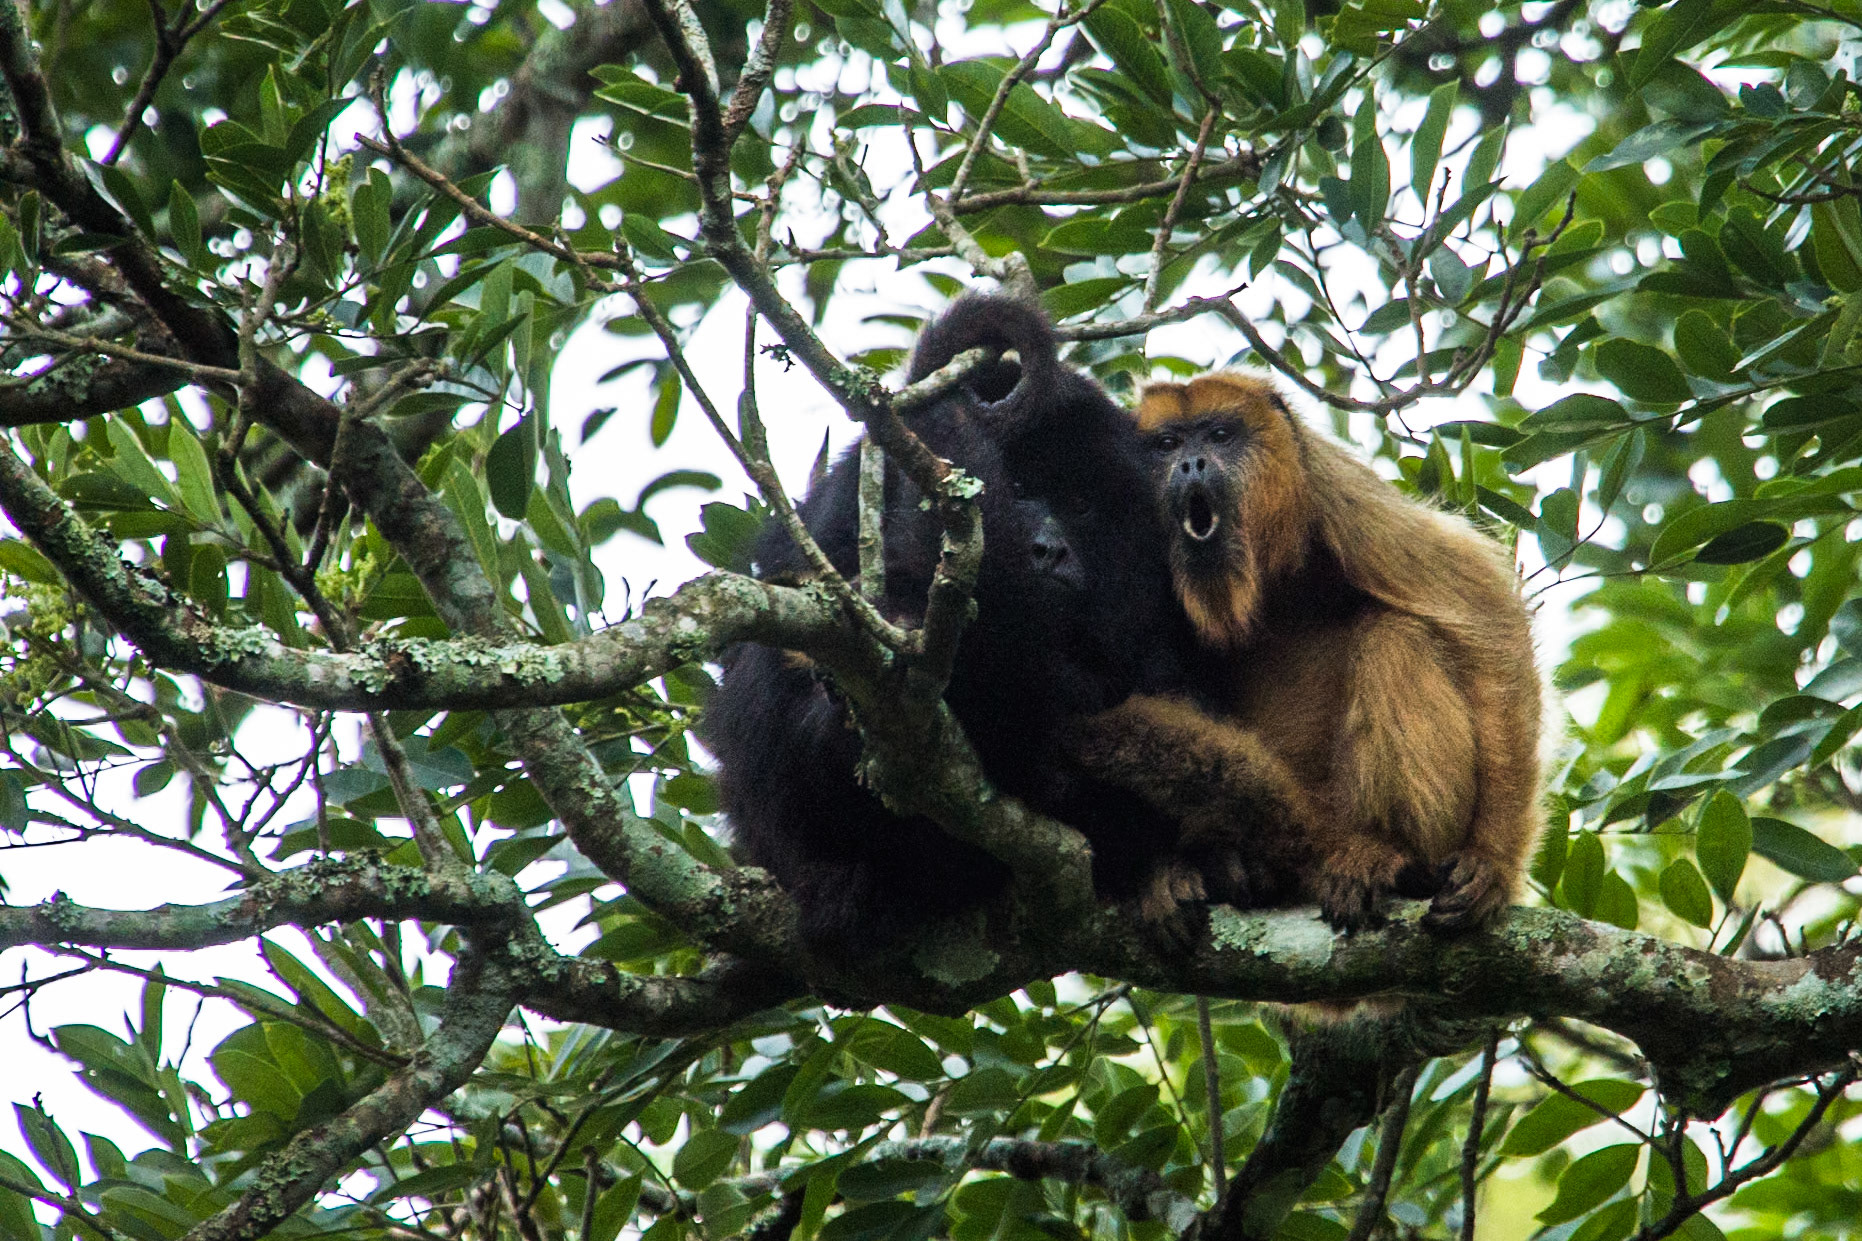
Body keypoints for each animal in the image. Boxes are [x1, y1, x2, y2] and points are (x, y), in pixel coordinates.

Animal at [1068, 371, 1543, 931]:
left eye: (1220, 436)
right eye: (1167, 445)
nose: (1190, 464)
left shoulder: (1340, 496)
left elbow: (1489, 623)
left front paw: (1492, 864)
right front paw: (1159, 871)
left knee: (1393, 636)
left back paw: (1388, 854)